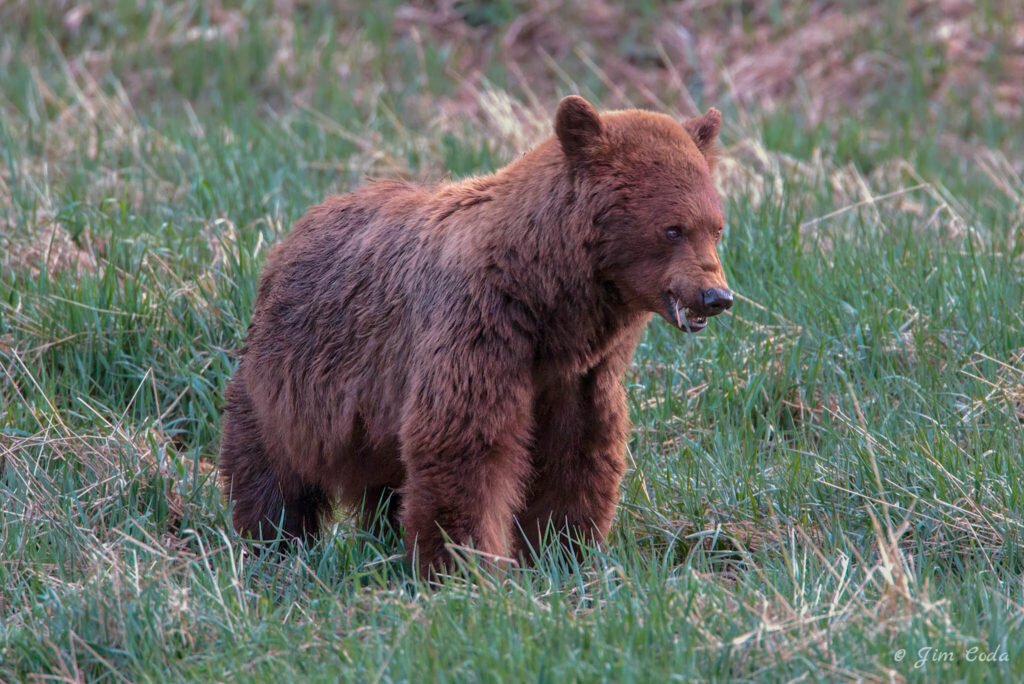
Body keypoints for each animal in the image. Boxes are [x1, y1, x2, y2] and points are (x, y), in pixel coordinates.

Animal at [218, 95, 733, 575]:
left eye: (716, 228)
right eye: (672, 228)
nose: (717, 295)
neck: (548, 300)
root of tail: (297, 228)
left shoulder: (579, 374)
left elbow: (576, 455)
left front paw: (564, 553)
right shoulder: (479, 329)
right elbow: (467, 446)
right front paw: (465, 567)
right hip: (291, 376)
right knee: (272, 470)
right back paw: (273, 544)